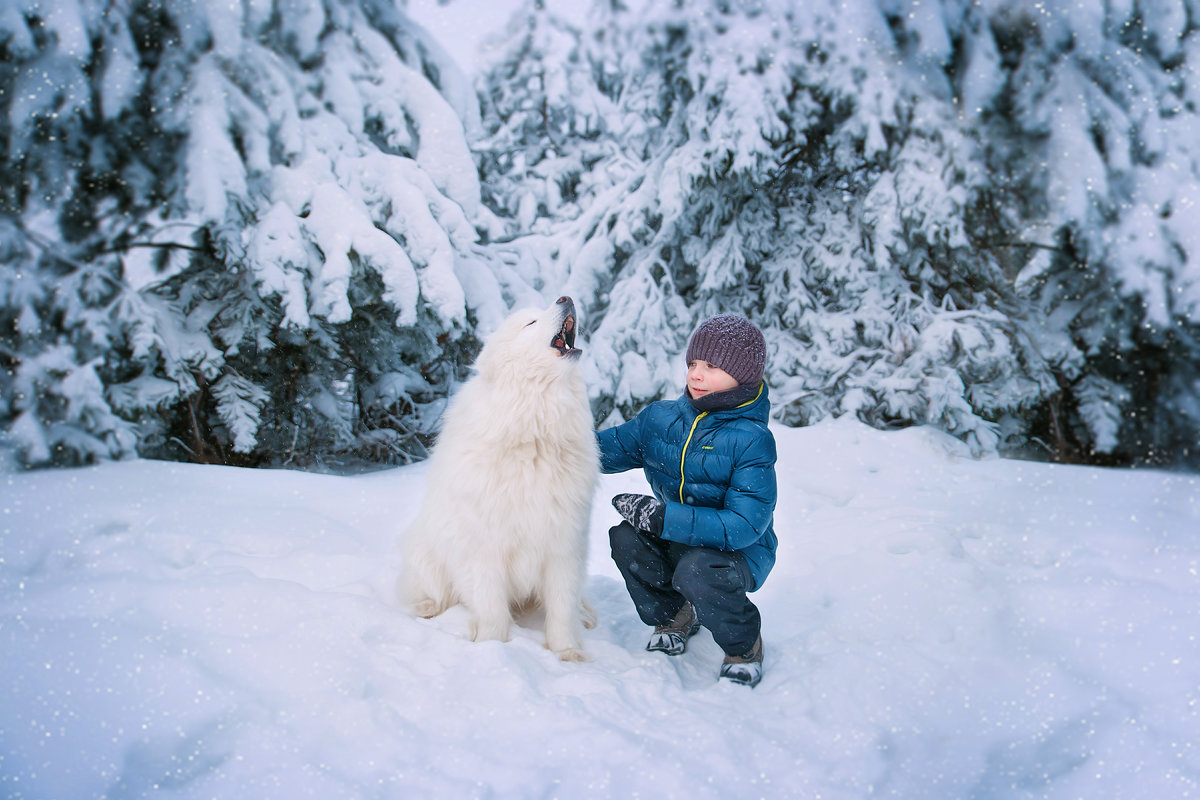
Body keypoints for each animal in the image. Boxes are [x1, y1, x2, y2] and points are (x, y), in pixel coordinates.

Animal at [400, 297, 600, 662]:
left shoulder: (563, 546)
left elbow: (561, 608)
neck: (534, 434)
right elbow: (491, 608)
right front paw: (492, 650)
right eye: (530, 323)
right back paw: (427, 607)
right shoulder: (484, 548)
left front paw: (567, 653)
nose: (565, 298)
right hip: (426, 551)